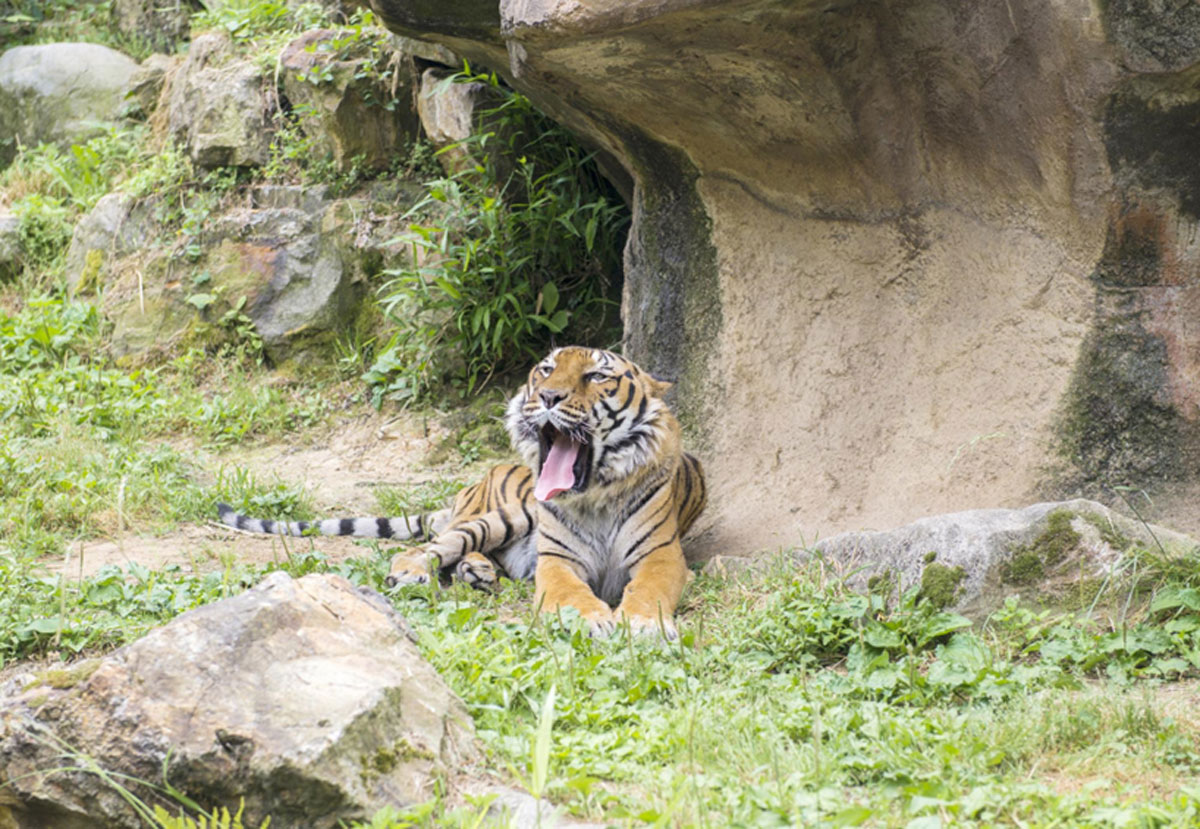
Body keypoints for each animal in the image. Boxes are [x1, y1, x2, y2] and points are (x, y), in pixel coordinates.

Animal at [217, 347, 705, 638]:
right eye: (547, 369)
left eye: (597, 375)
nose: (548, 396)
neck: (595, 496)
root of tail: (469, 486)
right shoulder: (558, 560)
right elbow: (568, 593)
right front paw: (589, 621)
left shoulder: (661, 555)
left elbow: (648, 590)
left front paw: (641, 624)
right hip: (503, 515)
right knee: (433, 546)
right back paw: (418, 573)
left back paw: (479, 573)